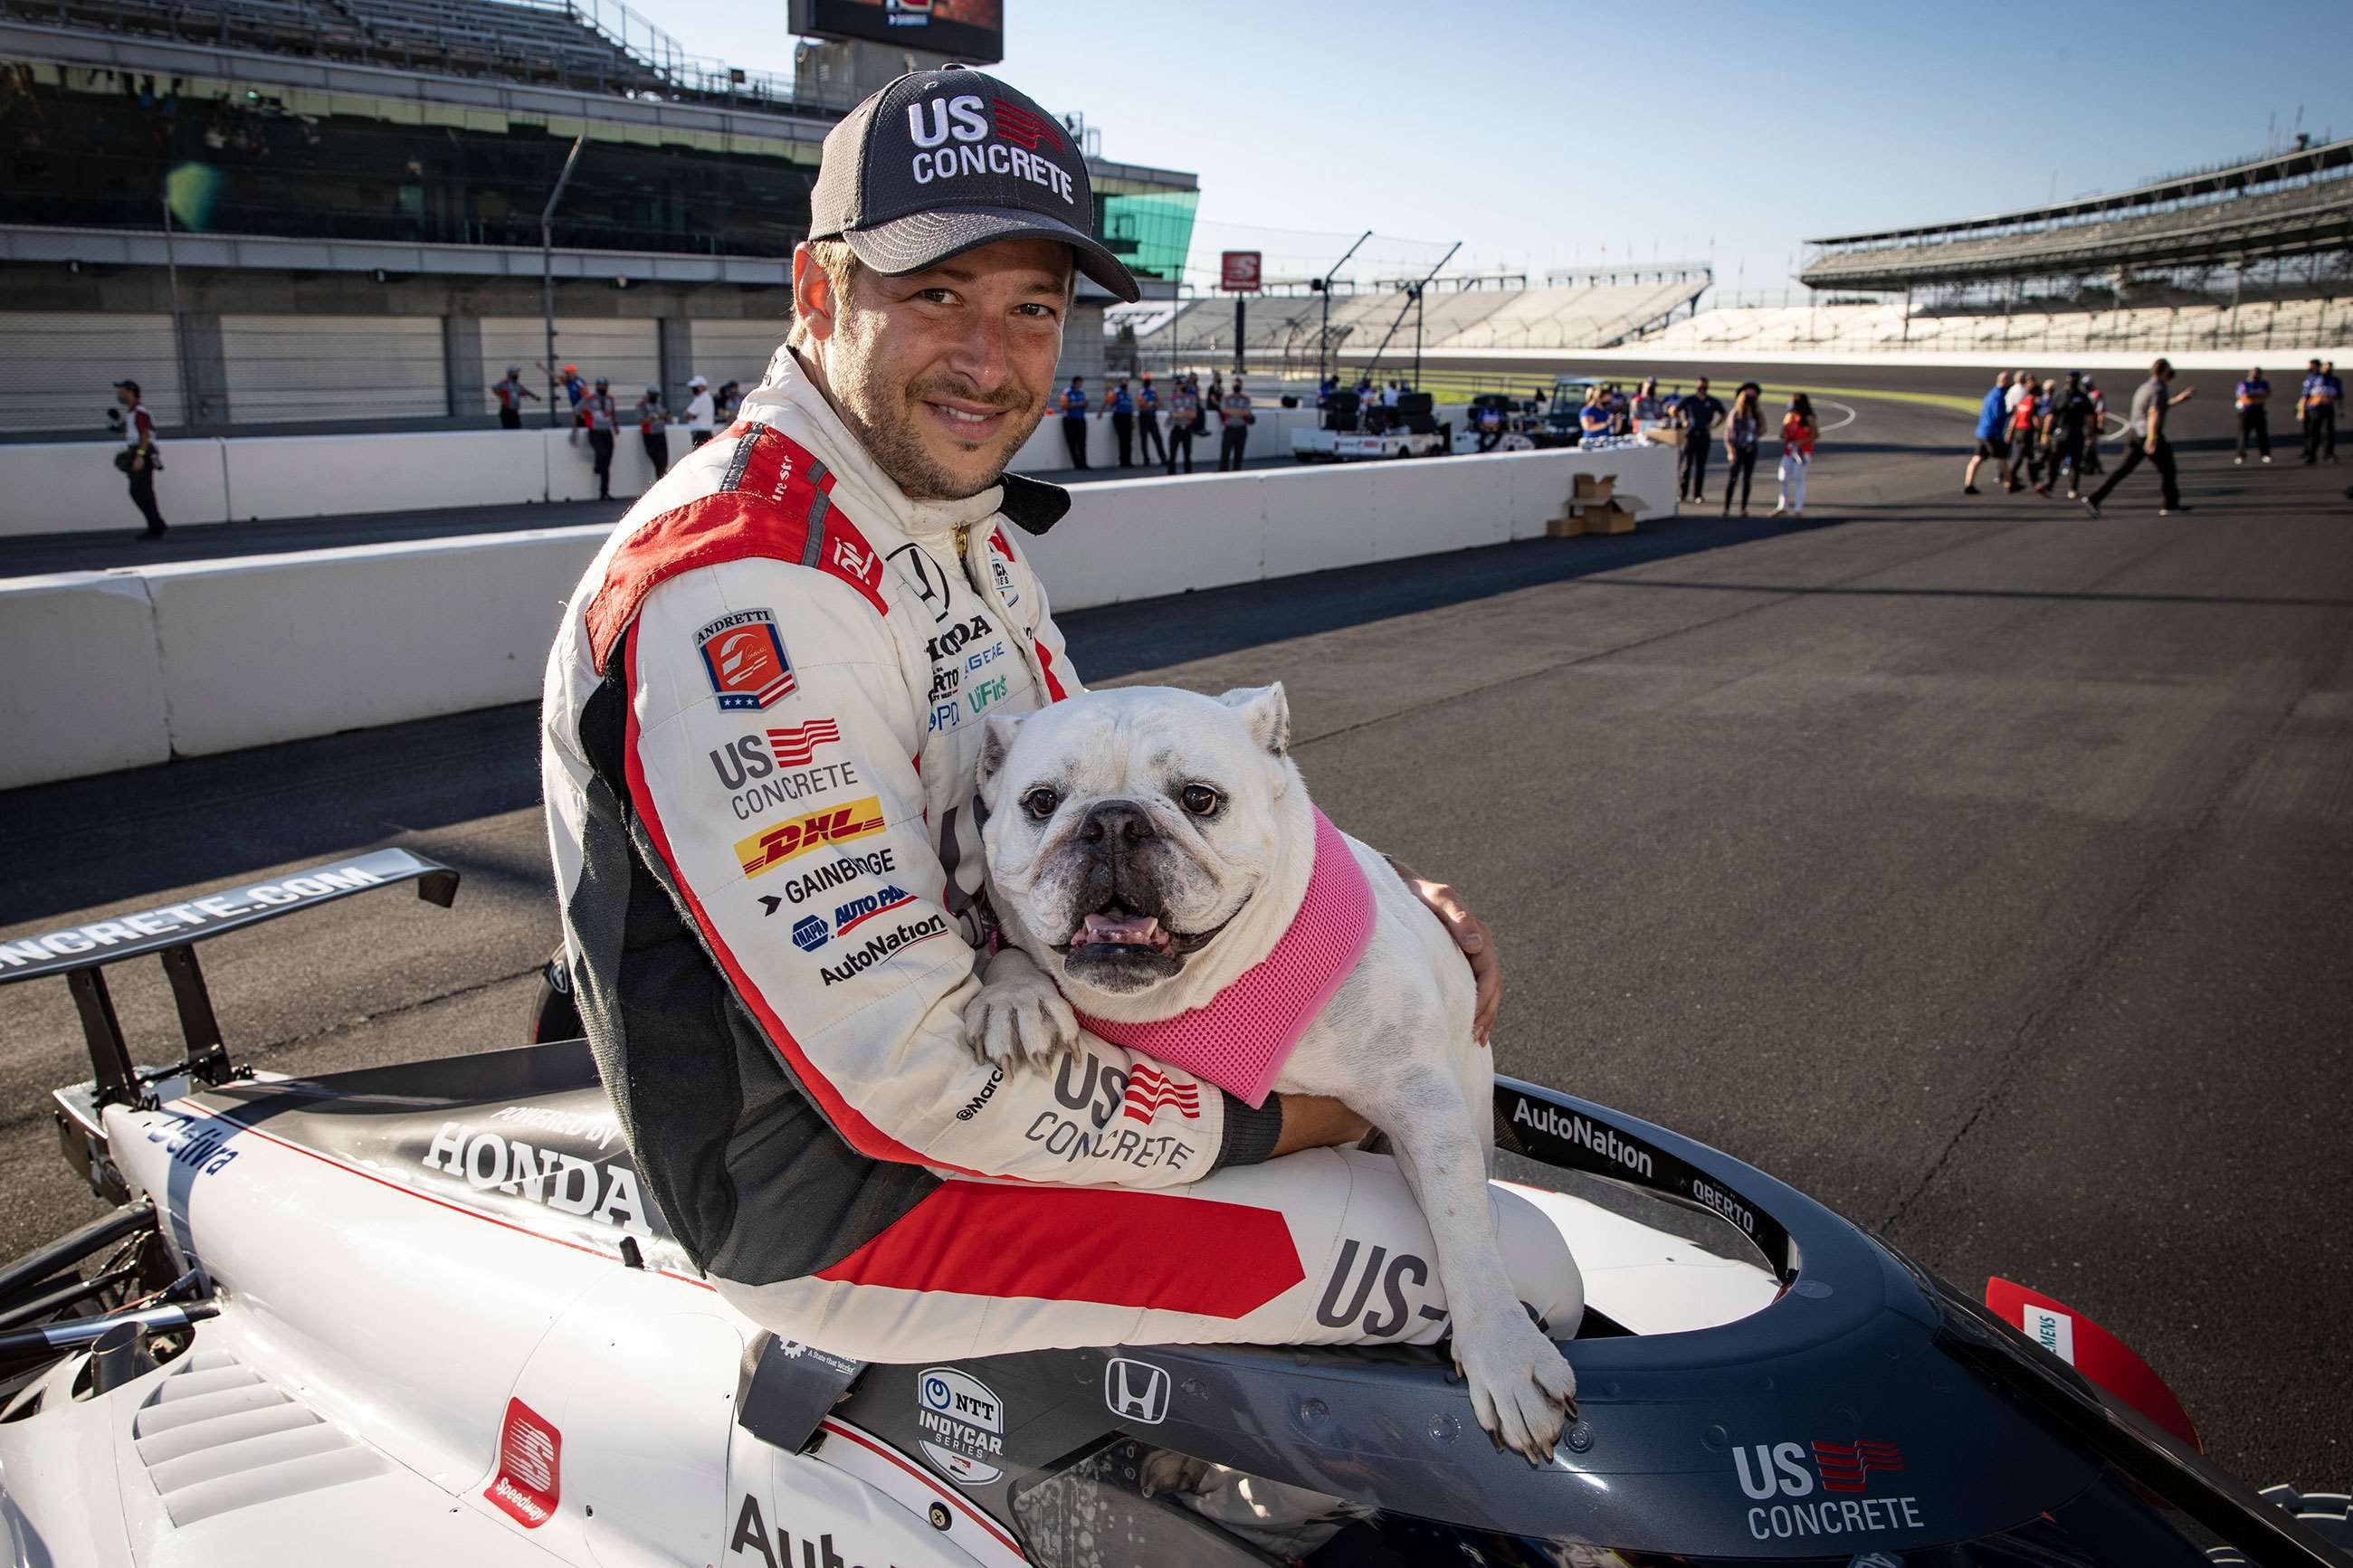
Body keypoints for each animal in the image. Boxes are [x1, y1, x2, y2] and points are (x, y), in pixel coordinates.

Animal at [955, 681, 1581, 1467]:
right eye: (1040, 801)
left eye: (1199, 798)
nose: (1113, 821)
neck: (1186, 996)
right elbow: (1008, 952)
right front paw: (1014, 997)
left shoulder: (1422, 1101)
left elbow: (1461, 1217)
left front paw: (1505, 1353)